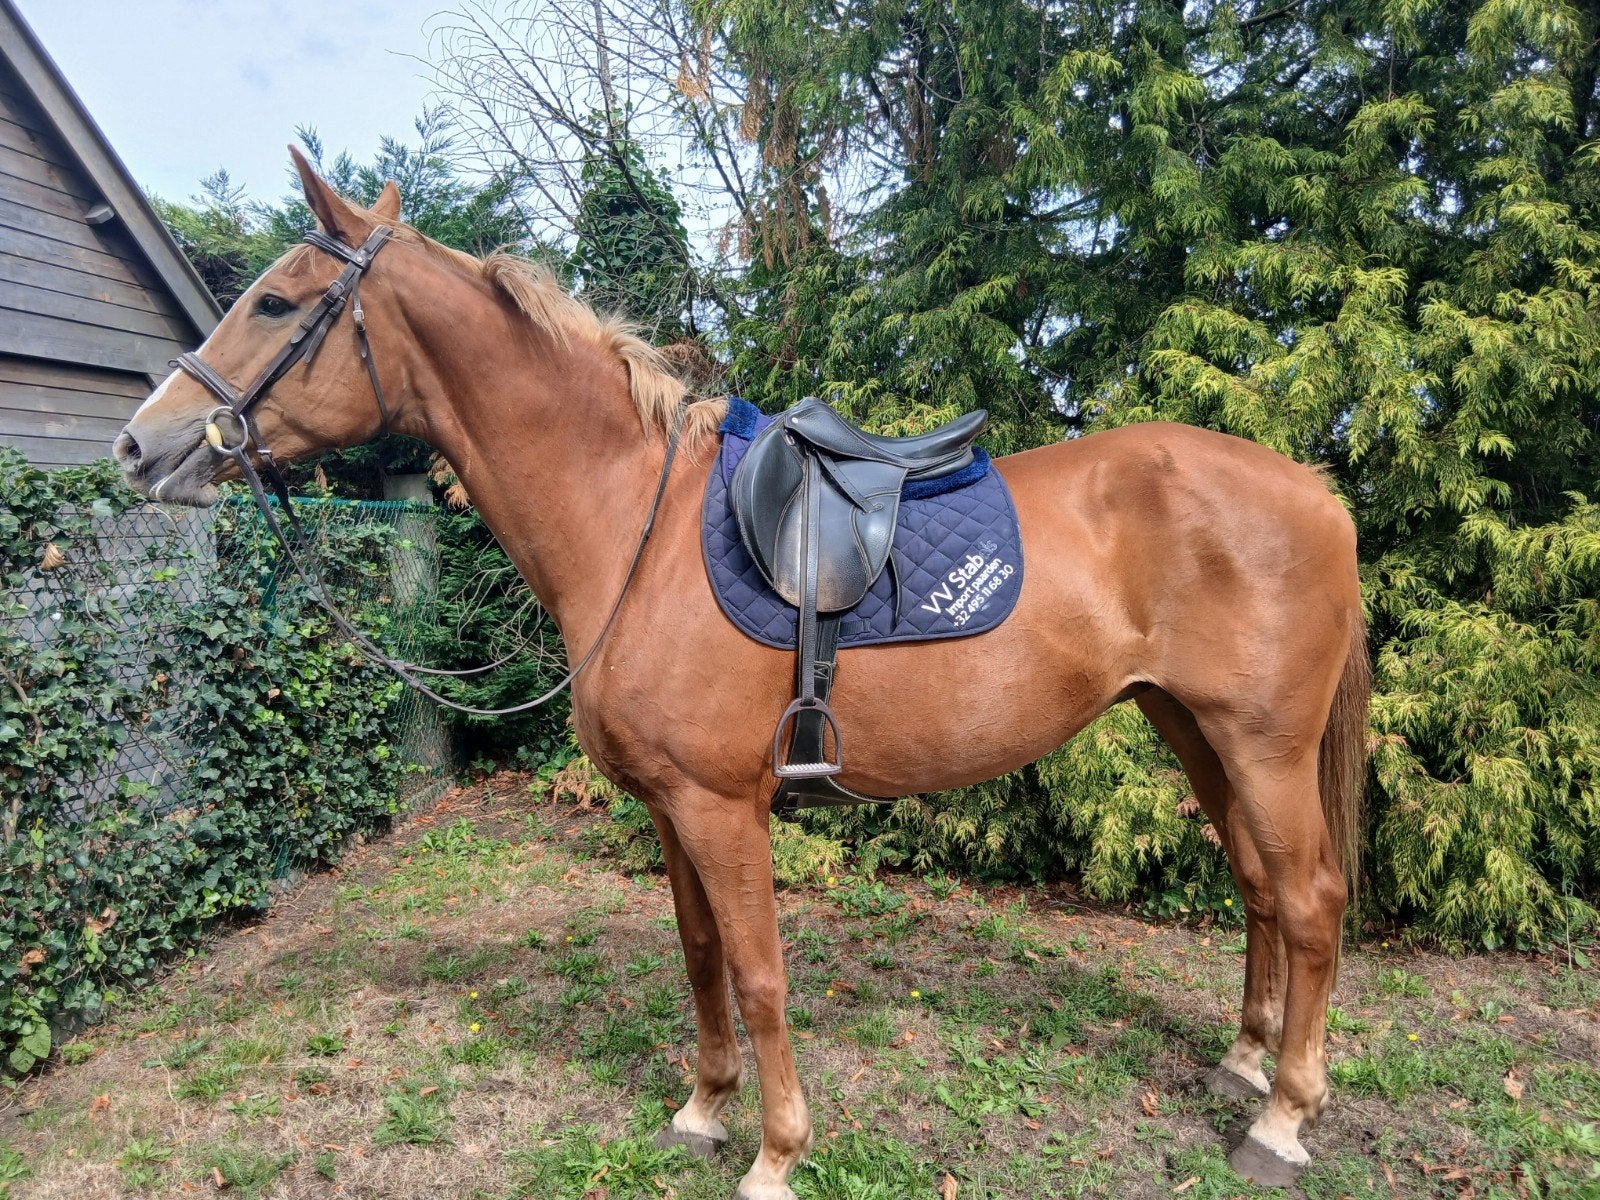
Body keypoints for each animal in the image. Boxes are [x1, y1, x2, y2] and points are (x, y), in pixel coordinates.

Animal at [113, 150, 1368, 1195]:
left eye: (275, 303)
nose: (140, 444)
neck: (637, 528)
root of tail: (1314, 489)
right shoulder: (671, 809)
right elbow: (701, 957)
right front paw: (702, 1110)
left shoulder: (724, 808)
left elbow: (760, 976)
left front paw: (775, 1154)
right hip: (1191, 730)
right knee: (1258, 888)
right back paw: (1243, 1064)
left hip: (1260, 743)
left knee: (1309, 899)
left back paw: (1282, 1118)